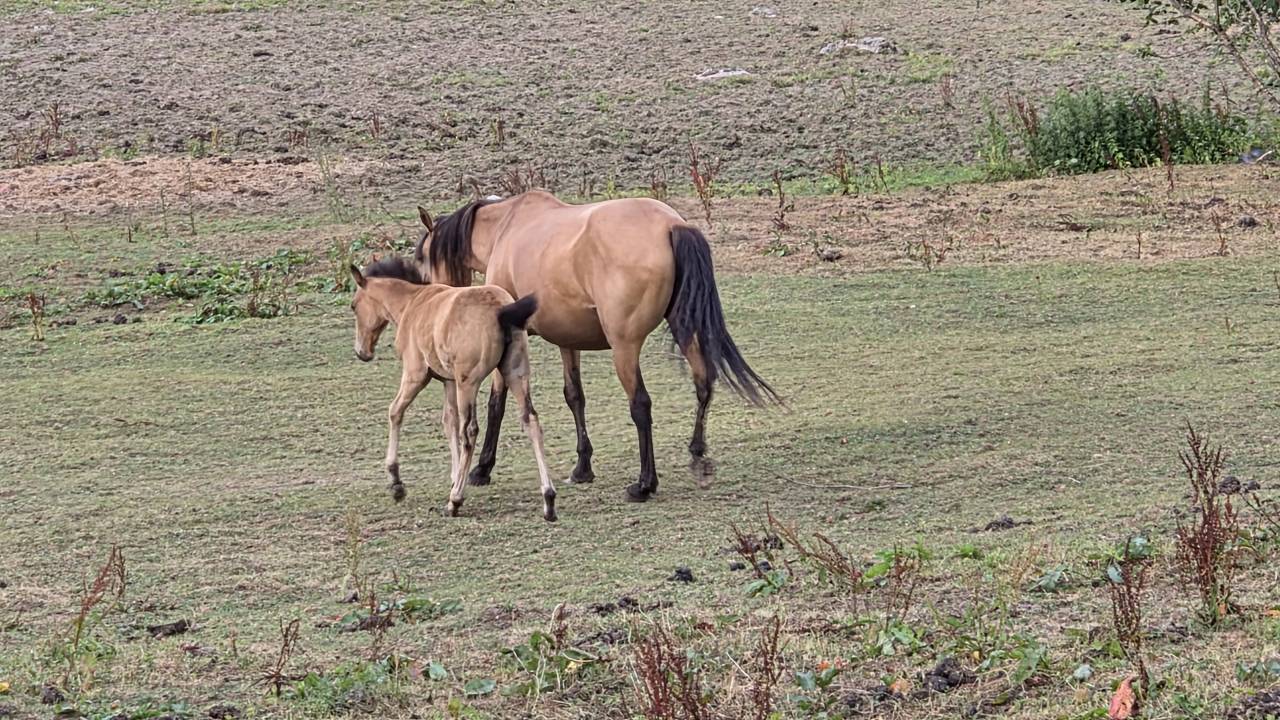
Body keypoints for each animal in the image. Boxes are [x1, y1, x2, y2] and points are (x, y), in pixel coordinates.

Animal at [347, 256, 558, 521]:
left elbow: (395, 411)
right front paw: (455, 476)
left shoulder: (416, 374)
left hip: (469, 383)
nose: (361, 352)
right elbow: (450, 422)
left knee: (470, 431)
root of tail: (501, 310)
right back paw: (548, 499)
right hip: (515, 374)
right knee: (531, 420)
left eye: (354, 306)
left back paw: (455, 501)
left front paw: (396, 482)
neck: (412, 303)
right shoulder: (448, 381)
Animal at [413, 190, 779, 502]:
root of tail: (672, 225)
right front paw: (582, 468)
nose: (434, 303)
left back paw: (644, 484)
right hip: (684, 328)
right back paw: (697, 455)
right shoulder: (567, 340)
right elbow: (574, 396)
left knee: (641, 405)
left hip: (624, 348)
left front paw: (482, 469)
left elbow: (496, 404)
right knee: (703, 383)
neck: (507, 228)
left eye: (422, 259)